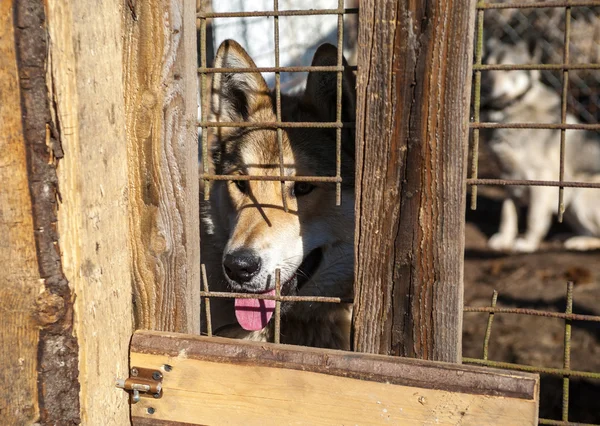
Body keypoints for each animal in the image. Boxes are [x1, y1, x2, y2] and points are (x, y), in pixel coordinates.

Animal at [480, 38, 600, 251]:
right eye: (488, 67)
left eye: (508, 69)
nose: (485, 90)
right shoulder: (506, 176)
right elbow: (508, 213)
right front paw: (505, 239)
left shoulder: (540, 179)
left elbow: (533, 218)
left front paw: (527, 244)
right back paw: (568, 237)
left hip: (582, 195)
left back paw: (580, 242)